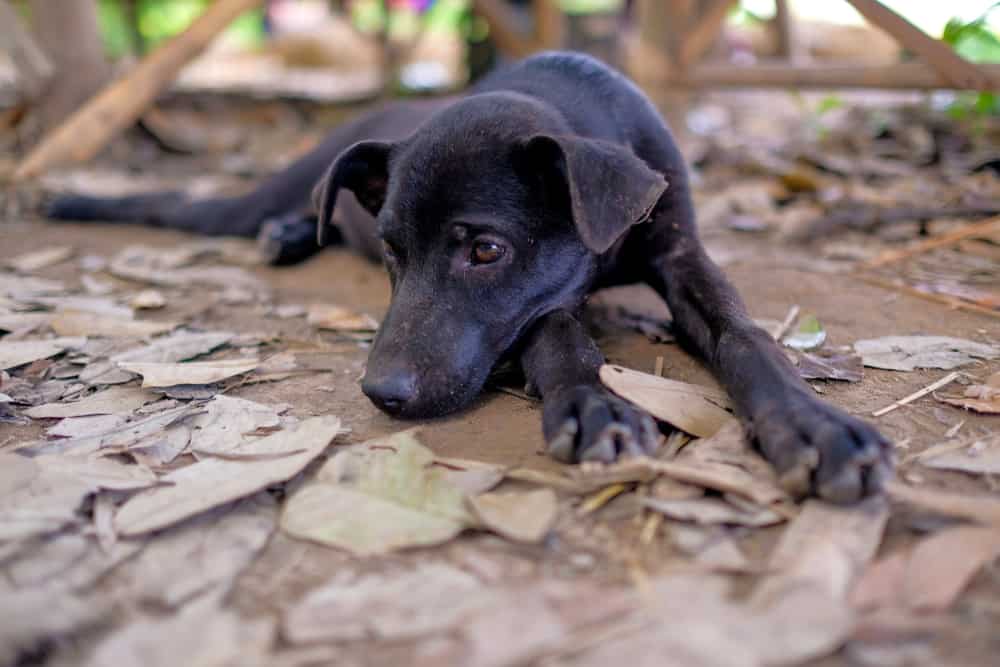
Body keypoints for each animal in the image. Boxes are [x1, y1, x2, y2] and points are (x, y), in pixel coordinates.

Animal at [48, 51, 892, 500]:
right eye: (392, 249)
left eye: (484, 251)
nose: (381, 393)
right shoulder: (546, 301)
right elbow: (559, 339)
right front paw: (591, 401)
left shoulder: (680, 254)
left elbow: (745, 335)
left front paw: (812, 423)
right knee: (190, 206)